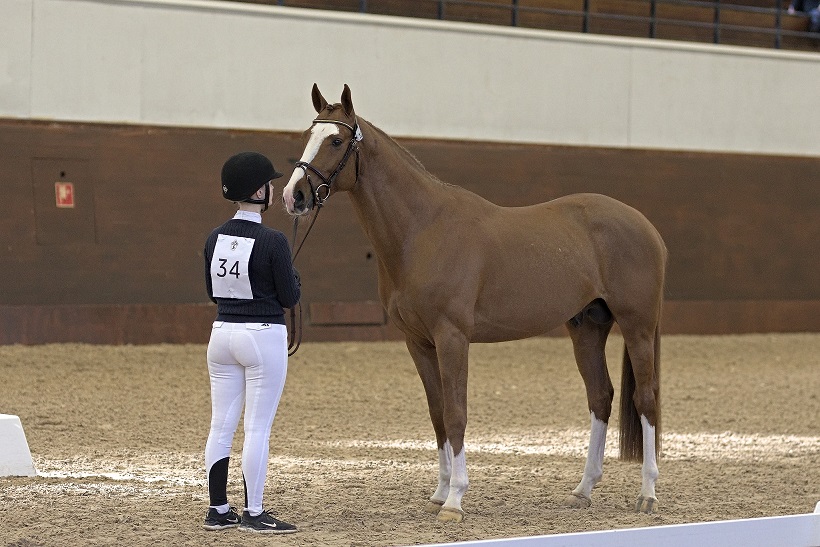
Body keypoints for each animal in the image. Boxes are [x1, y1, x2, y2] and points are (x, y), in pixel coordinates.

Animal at [282, 84, 668, 524]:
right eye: (307, 136)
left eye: (336, 140)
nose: (293, 195)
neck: (422, 229)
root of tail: (646, 227)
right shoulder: (419, 342)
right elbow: (437, 414)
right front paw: (439, 492)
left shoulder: (452, 337)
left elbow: (456, 412)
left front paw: (455, 501)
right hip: (587, 327)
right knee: (600, 397)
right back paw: (582, 490)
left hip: (637, 327)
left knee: (646, 399)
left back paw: (648, 494)